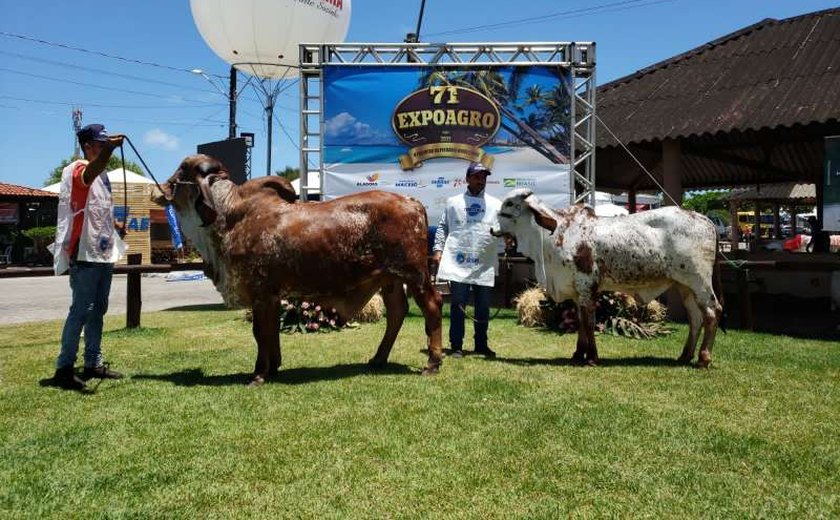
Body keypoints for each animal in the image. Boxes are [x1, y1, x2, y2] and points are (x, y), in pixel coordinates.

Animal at [158, 154, 446, 386]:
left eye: (183, 169)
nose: (163, 187)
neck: (228, 217)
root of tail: (411, 201)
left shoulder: (260, 293)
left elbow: (260, 333)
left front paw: (258, 375)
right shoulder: (272, 297)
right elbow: (269, 333)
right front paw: (273, 368)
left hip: (415, 274)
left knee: (432, 305)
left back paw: (432, 363)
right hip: (390, 279)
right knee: (397, 313)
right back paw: (378, 359)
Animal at [492, 189, 720, 368]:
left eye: (510, 203)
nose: (492, 229)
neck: (553, 236)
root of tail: (706, 220)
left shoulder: (587, 285)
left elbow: (589, 321)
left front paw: (592, 357)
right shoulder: (577, 291)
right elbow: (580, 321)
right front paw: (578, 354)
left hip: (700, 282)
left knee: (711, 313)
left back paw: (703, 359)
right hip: (685, 285)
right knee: (695, 317)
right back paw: (685, 356)